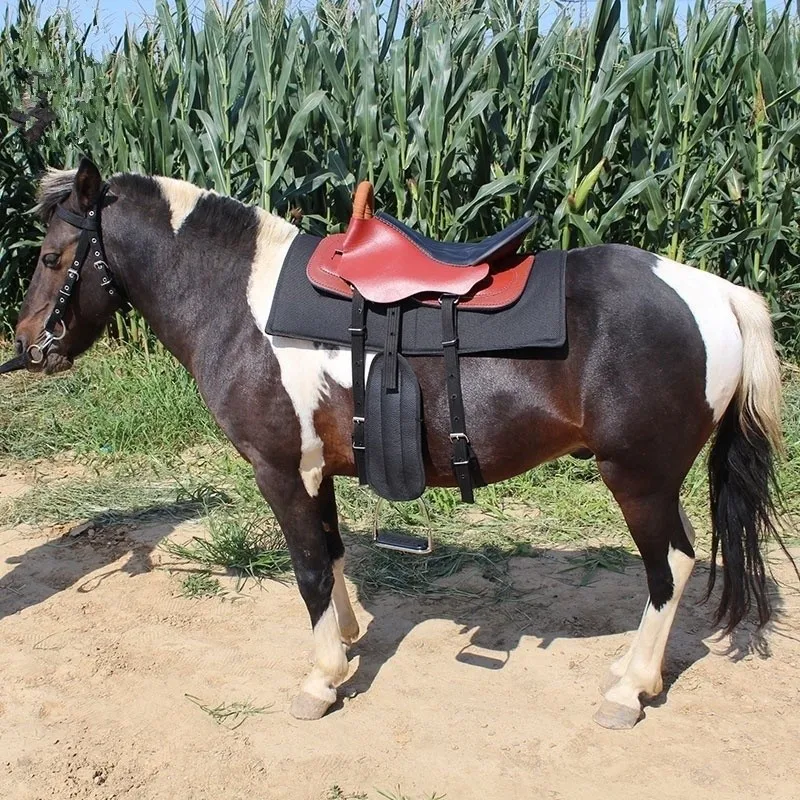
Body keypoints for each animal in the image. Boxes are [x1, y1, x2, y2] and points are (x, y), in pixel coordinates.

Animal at [1, 159, 788, 728]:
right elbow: (331, 554)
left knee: (671, 569)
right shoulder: (315, 468)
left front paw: (320, 682)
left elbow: (308, 571)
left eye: (51, 257)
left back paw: (629, 689)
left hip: (638, 477)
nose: (27, 347)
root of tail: (718, 293)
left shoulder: (278, 469)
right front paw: (348, 642)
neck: (242, 301)